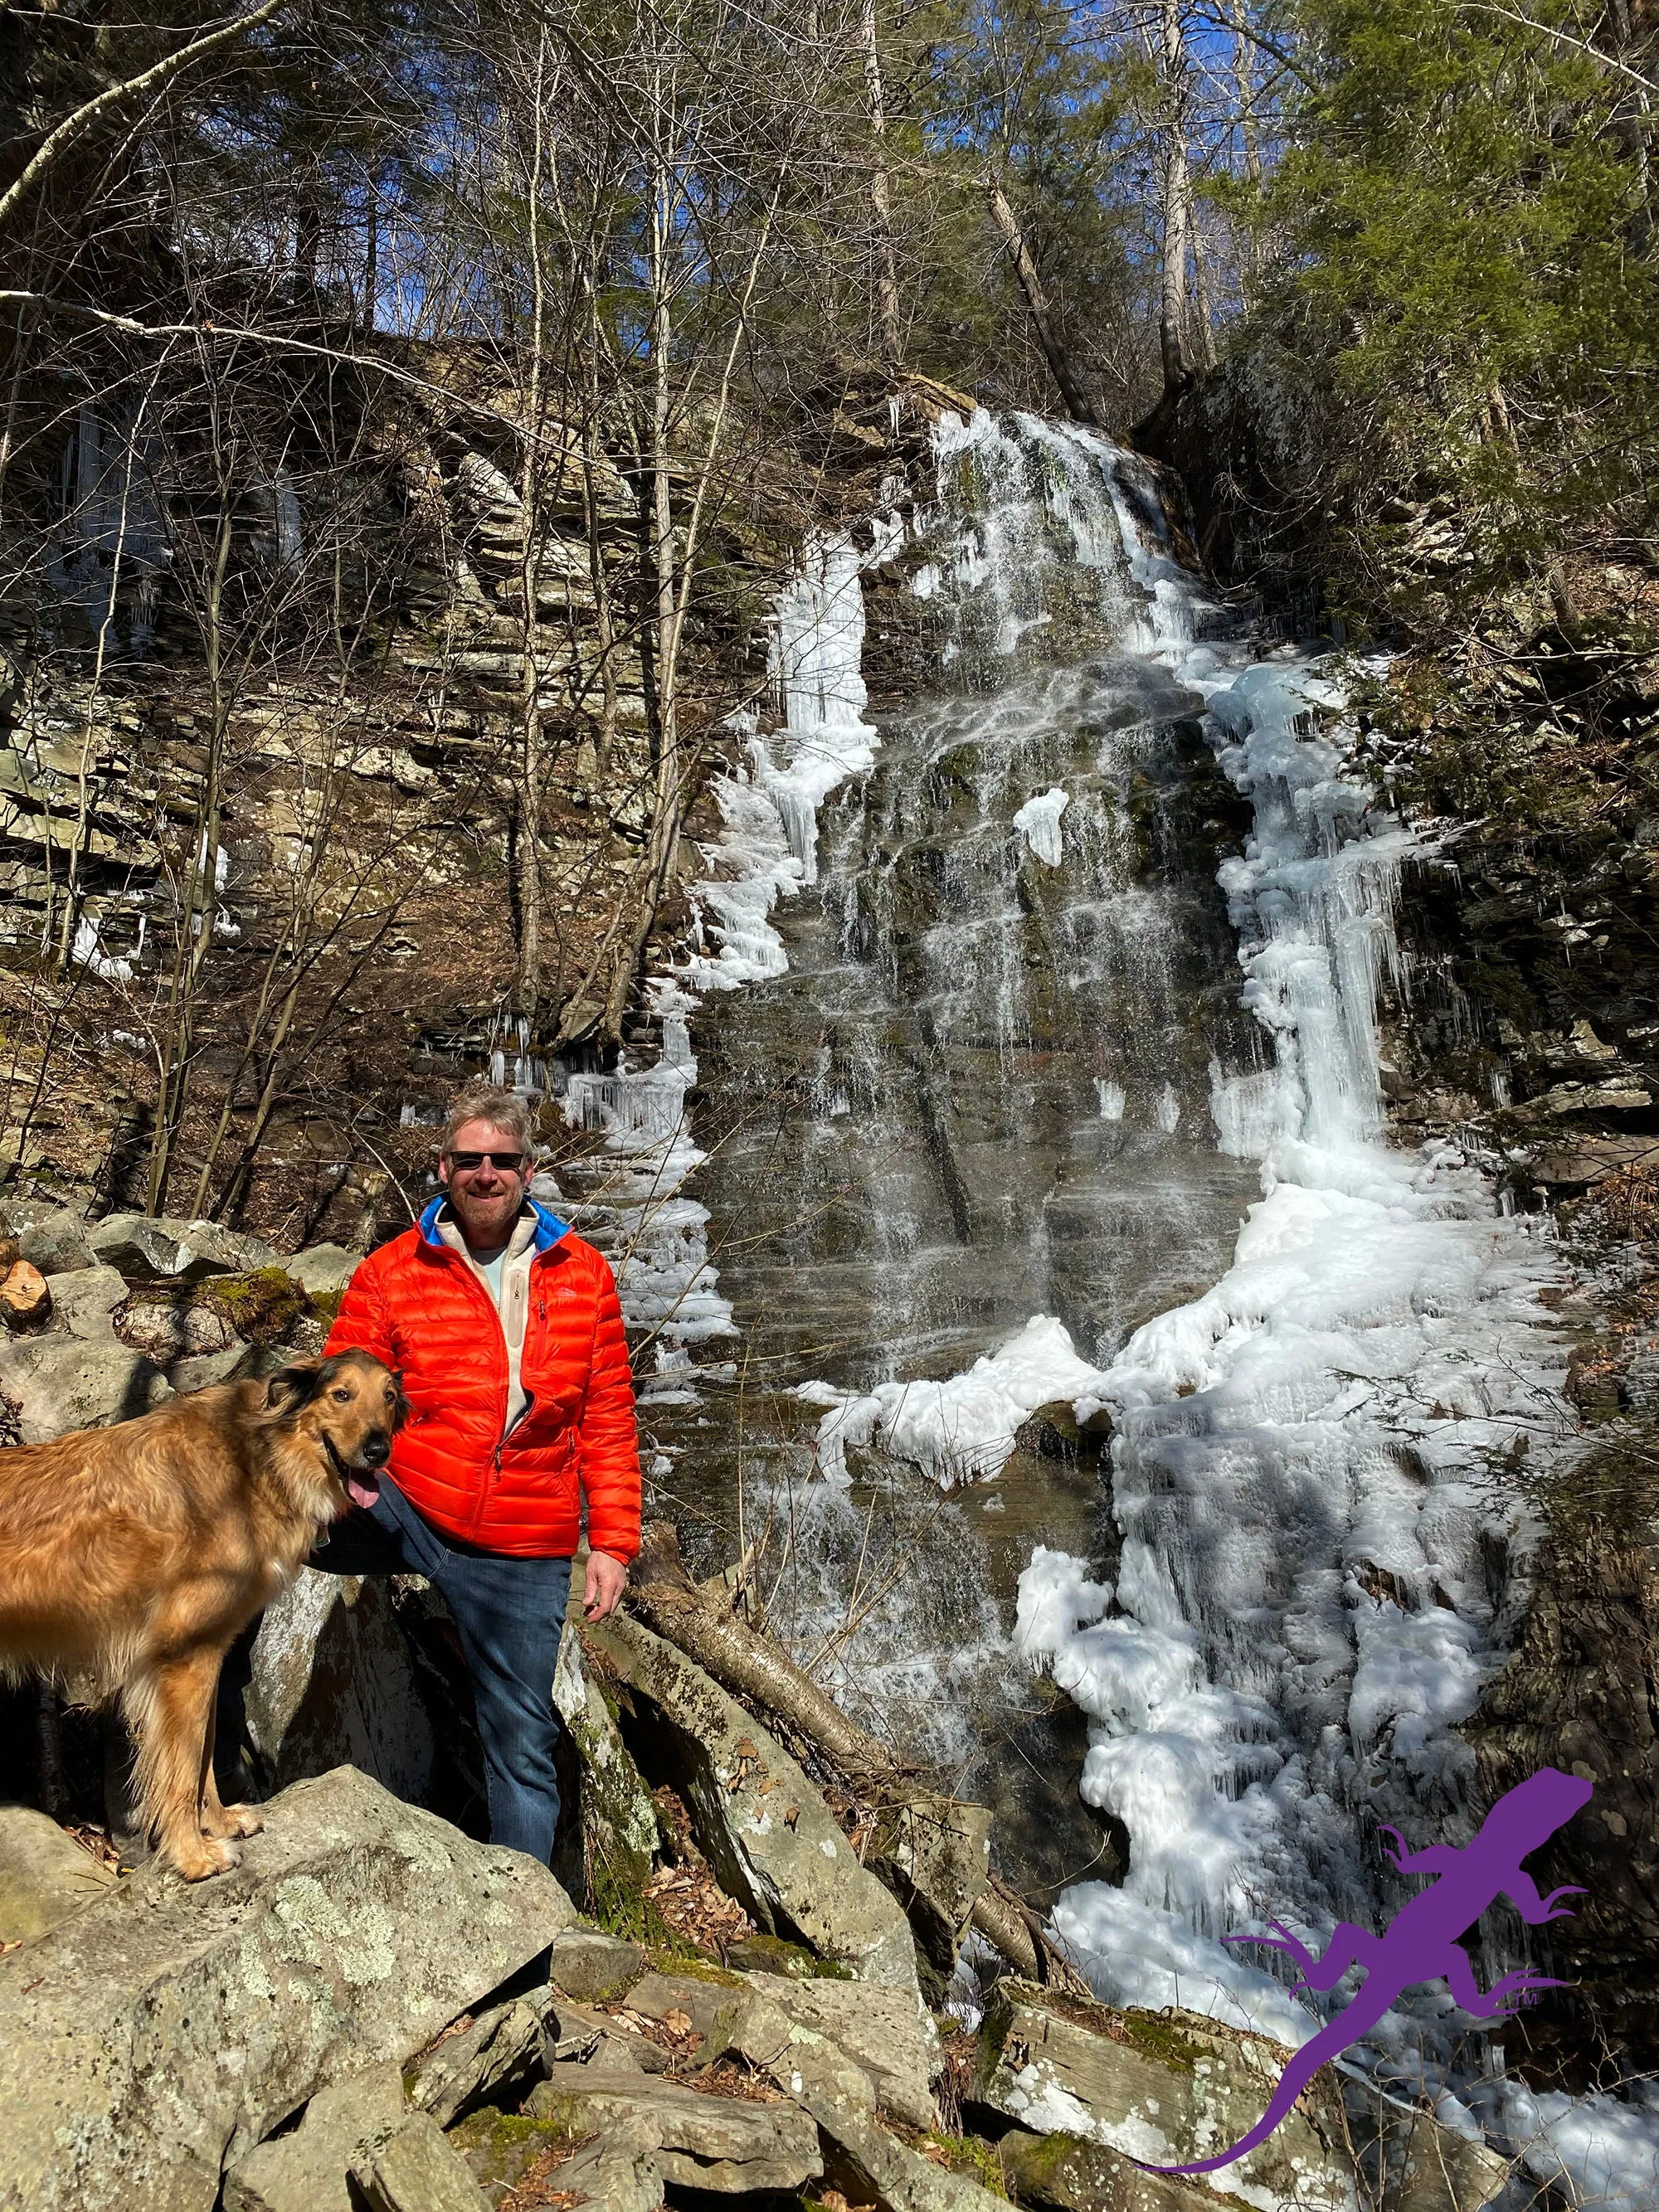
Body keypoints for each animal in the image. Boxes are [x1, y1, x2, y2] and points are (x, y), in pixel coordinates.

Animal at [0, 1344, 406, 1884]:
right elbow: (184, 1765)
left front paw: (218, 1823)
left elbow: (205, 1758)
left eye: (389, 1397)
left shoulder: (209, 1655)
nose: (379, 1450)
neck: (257, 1462)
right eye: (341, 1395)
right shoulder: (183, 1657)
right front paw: (193, 1856)